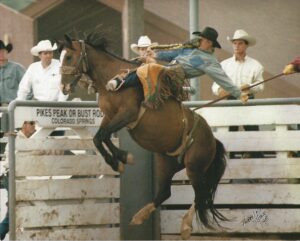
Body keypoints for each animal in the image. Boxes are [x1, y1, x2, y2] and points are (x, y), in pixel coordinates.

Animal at [58, 34, 227, 239]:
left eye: (68, 57)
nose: (63, 87)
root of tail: (213, 139)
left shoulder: (127, 114)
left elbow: (104, 136)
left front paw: (123, 158)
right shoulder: (109, 117)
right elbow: (99, 138)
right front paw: (118, 161)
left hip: (194, 166)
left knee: (201, 194)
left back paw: (186, 227)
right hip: (166, 163)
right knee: (165, 193)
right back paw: (140, 216)